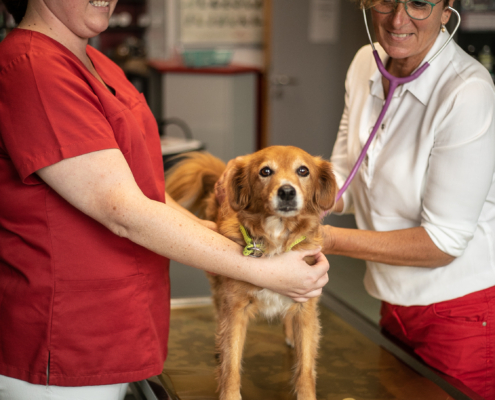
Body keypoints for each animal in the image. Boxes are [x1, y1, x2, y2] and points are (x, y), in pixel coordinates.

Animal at [166, 147, 338, 400]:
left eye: (303, 170)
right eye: (265, 171)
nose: (287, 191)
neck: (276, 237)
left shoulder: (306, 307)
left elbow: (306, 368)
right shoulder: (235, 309)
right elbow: (231, 364)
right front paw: (229, 394)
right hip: (219, 287)